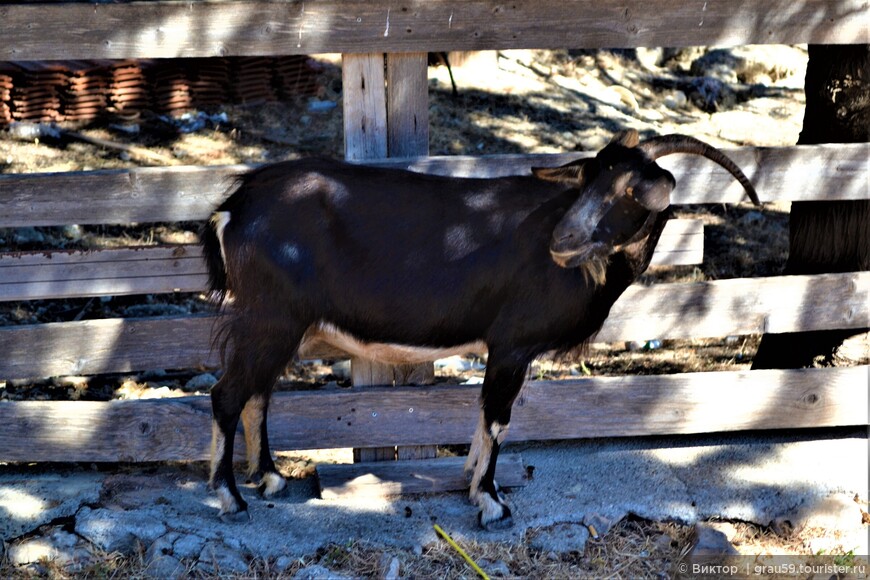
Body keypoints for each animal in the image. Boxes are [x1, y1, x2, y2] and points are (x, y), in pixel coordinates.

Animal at [201, 131, 760, 532]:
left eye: (628, 189)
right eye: (586, 182)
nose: (563, 240)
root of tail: (233, 207)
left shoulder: (509, 348)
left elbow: (482, 417)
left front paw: (471, 484)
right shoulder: (512, 342)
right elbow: (497, 419)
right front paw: (491, 504)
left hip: (280, 325)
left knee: (259, 393)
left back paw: (270, 480)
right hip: (271, 316)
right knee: (228, 393)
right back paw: (230, 497)